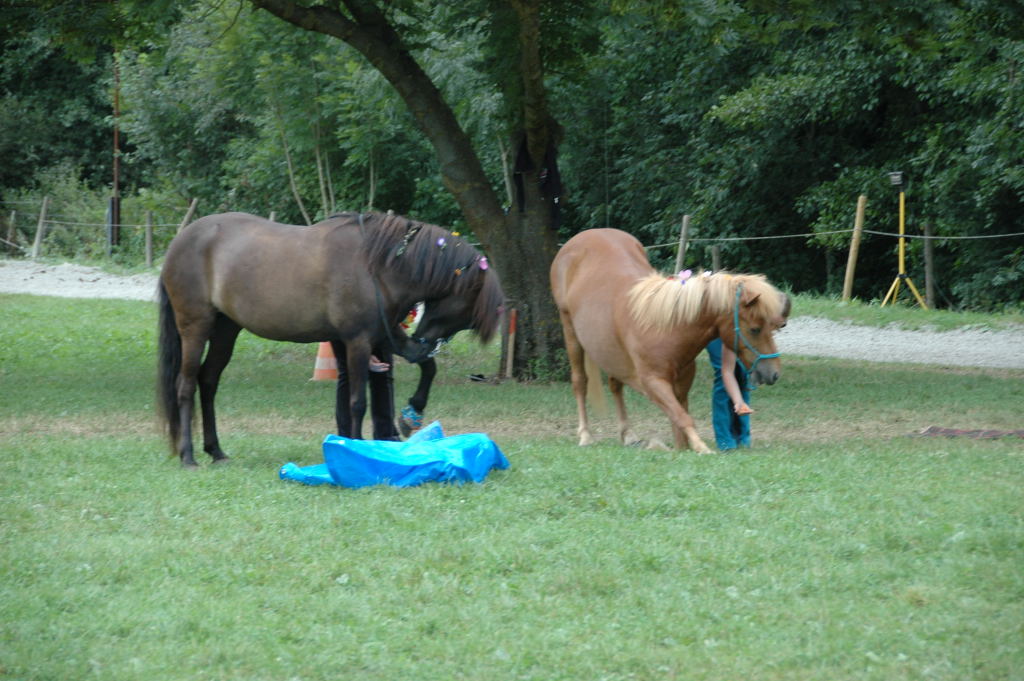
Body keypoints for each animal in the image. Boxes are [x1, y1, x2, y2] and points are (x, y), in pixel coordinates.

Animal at [157, 211, 504, 467]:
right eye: (468, 310)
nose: (423, 340)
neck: (378, 267)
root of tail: (180, 241)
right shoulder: (358, 341)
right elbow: (357, 401)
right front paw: (355, 446)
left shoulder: (385, 336)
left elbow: (427, 369)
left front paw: (410, 416)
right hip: (195, 328)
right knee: (185, 386)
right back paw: (188, 456)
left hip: (226, 331)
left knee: (208, 382)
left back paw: (216, 451)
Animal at [550, 228, 789, 453]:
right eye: (755, 329)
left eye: (773, 327)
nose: (774, 373)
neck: (664, 327)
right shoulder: (653, 382)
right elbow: (681, 416)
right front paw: (702, 448)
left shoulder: (682, 383)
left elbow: (679, 420)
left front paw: (684, 447)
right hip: (570, 330)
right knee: (580, 382)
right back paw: (585, 435)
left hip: (609, 351)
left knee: (615, 384)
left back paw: (628, 435)